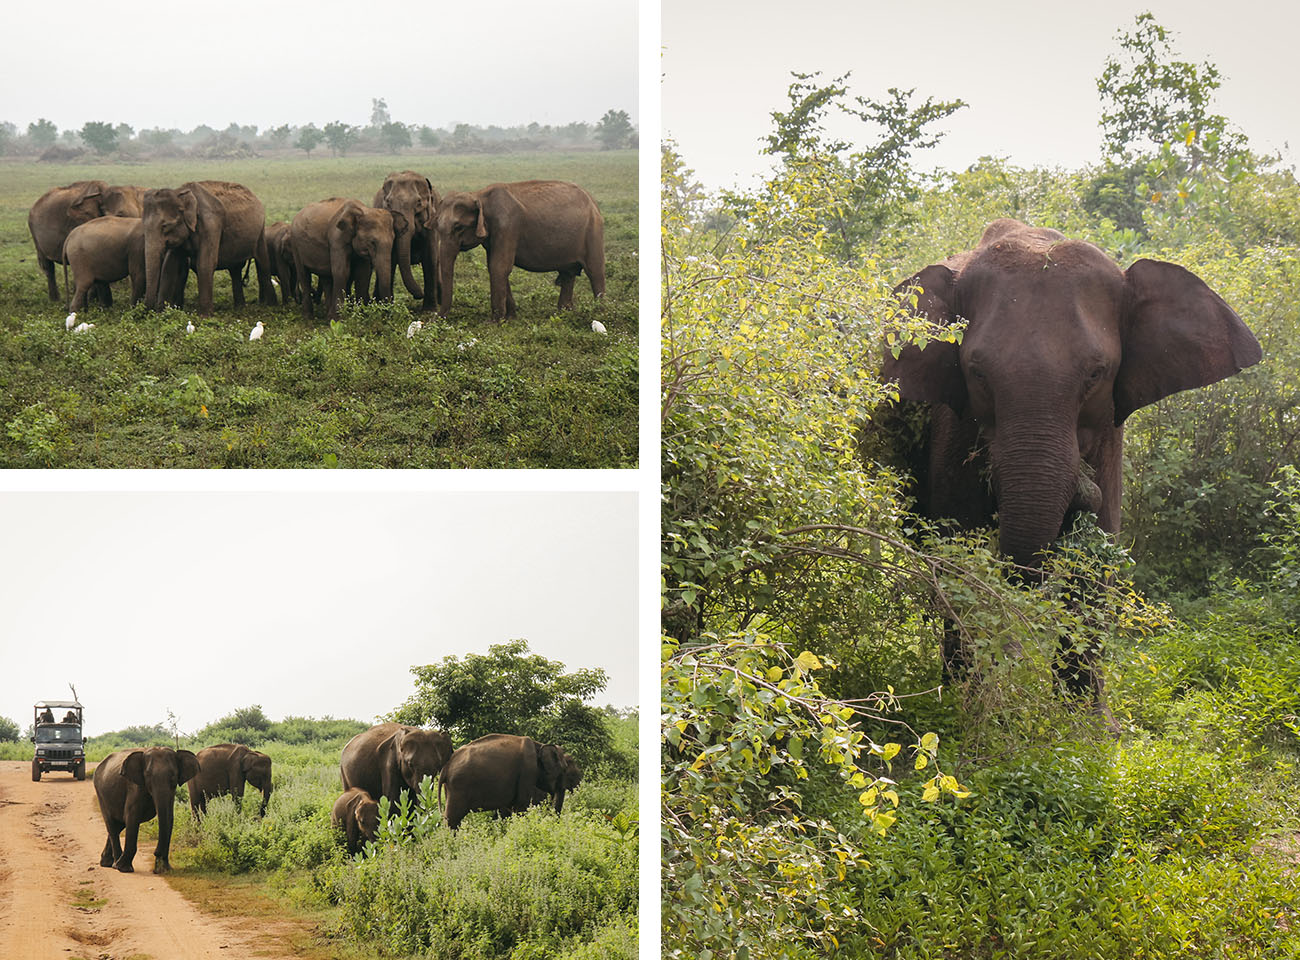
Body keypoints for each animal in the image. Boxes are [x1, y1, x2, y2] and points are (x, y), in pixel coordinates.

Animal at [142, 179, 274, 314]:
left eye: (165, 226)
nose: (149, 311)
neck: (180, 193)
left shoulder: (211, 225)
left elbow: (205, 263)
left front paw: (205, 316)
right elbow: (170, 265)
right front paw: (162, 313)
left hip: (260, 232)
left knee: (262, 264)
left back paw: (270, 306)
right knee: (235, 269)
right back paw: (240, 308)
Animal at [374, 167, 439, 308]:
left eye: (419, 202)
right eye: (388, 203)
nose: (418, 295)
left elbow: (430, 257)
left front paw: (430, 310)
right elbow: (391, 257)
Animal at [431, 180, 603, 323]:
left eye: (458, 227)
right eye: (437, 226)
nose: (436, 318)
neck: (479, 195)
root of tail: (594, 202)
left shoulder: (507, 226)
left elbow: (499, 267)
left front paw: (494, 322)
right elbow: (494, 267)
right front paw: (510, 318)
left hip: (593, 231)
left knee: (595, 272)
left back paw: (600, 313)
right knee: (568, 274)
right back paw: (564, 314)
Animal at [883, 218, 1258, 702]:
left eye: (1096, 374)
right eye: (977, 372)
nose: (1083, 486)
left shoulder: (1111, 433)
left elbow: (1096, 565)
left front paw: (1085, 719)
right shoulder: (954, 426)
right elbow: (959, 552)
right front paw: (973, 707)